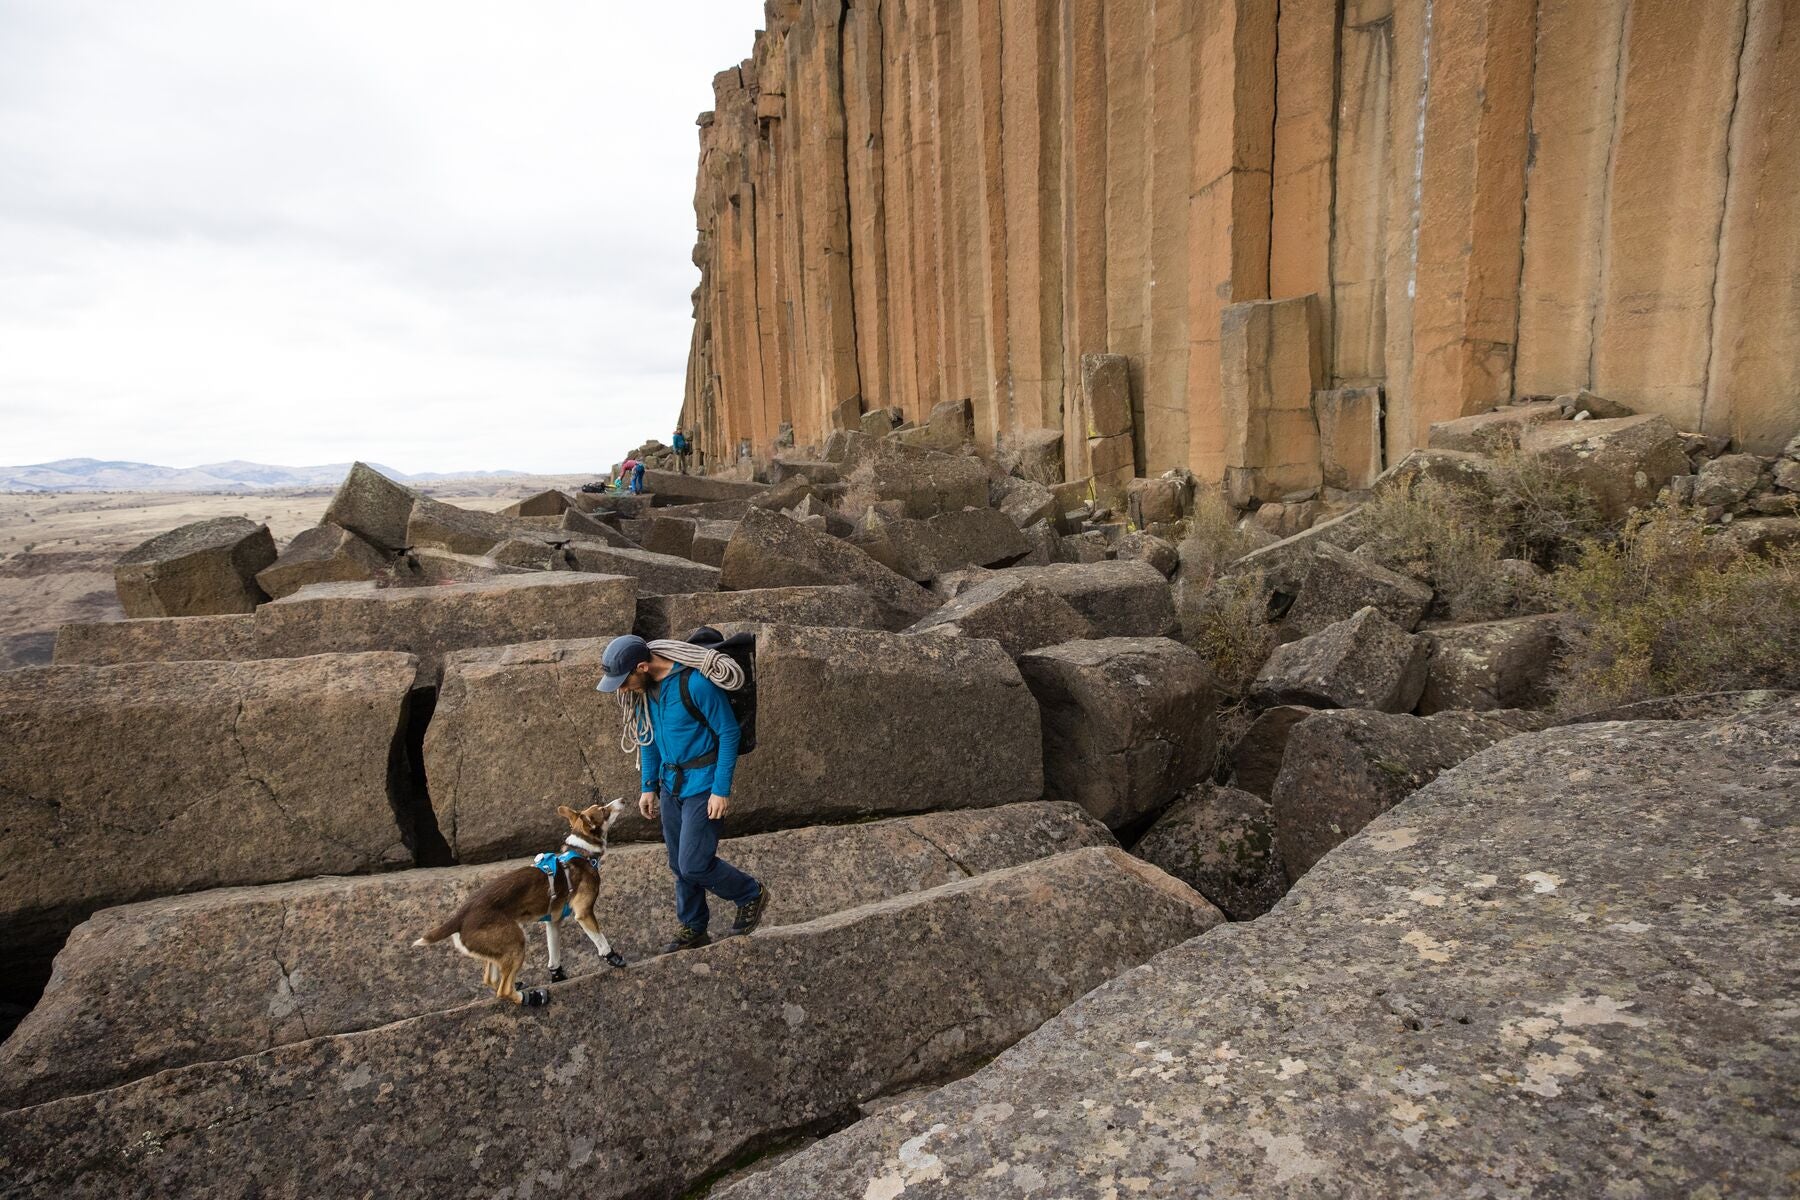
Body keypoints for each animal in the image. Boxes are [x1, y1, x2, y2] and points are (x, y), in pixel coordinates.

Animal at [413, 799, 627, 1006]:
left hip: (496, 947)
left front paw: (557, 975)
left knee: (490, 979)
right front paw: (613, 958)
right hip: (516, 940)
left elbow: (554, 955)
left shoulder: (553, 922)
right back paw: (531, 998)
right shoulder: (584, 912)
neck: (581, 851)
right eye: (603, 810)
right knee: (503, 990)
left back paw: (519, 987)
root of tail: (460, 916)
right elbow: (600, 939)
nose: (623, 800)